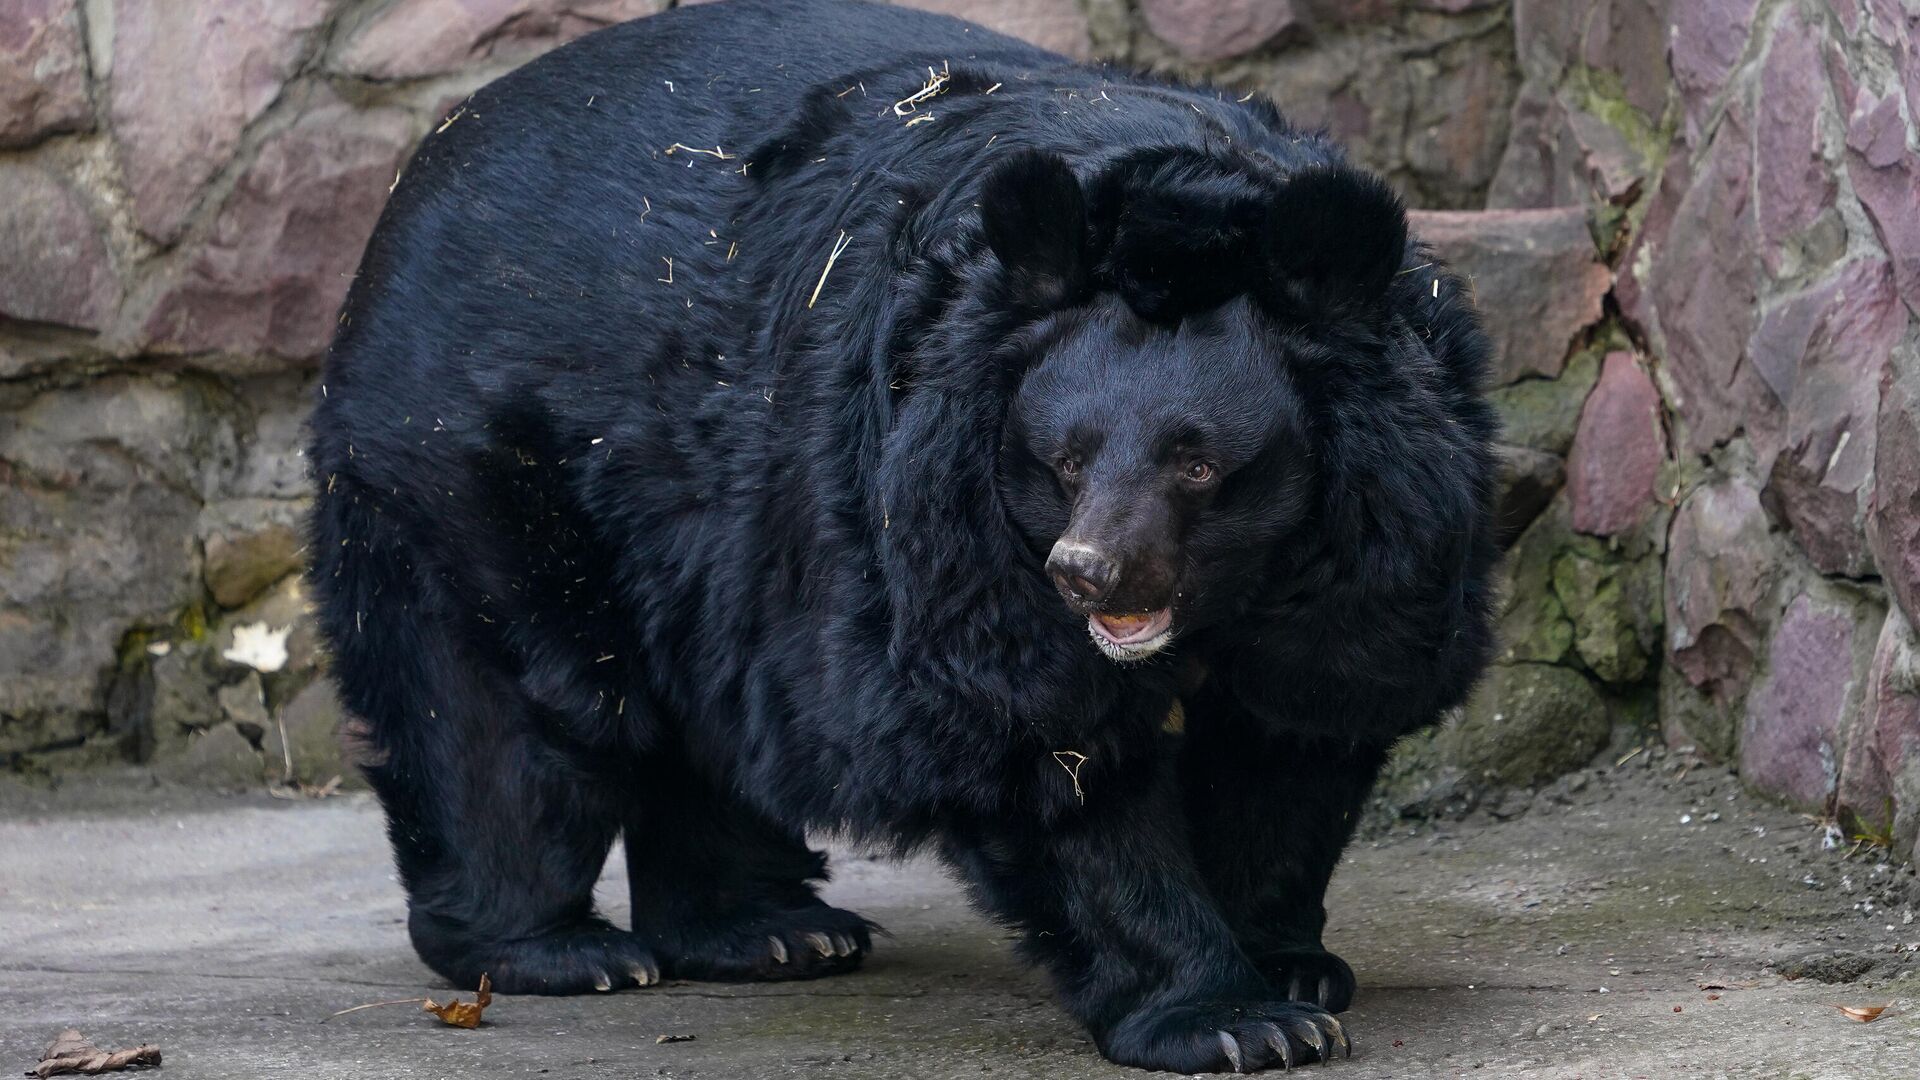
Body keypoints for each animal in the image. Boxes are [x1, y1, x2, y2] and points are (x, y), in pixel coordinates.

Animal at [307, 0, 1497, 1060]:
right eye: (1063, 460)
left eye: (1198, 463)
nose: (1088, 572)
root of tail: (434, 156)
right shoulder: (939, 504)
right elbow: (1040, 737)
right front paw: (1232, 1019)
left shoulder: (1377, 544)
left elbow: (1297, 725)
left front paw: (1291, 966)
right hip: (477, 465)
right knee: (507, 709)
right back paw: (559, 949)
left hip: (703, 532)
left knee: (707, 709)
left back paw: (769, 932)